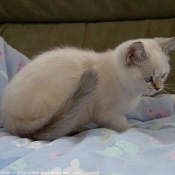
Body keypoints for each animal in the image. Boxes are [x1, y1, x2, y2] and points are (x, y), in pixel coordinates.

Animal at [0, 37, 175, 141]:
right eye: (148, 79)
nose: (158, 88)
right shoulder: (107, 112)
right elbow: (119, 124)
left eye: (163, 75)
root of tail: (8, 118)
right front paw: (131, 127)